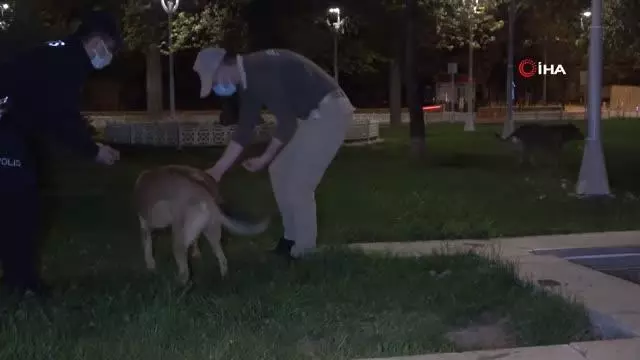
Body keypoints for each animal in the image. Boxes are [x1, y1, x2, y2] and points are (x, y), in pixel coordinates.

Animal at [132, 165, 268, 286]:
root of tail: (207, 199)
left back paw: (176, 286)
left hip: (179, 242)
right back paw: (224, 279)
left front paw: (151, 268)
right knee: (223, 259)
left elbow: (148, 250)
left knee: (185, 272)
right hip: (212, 235)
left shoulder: (144, 227)